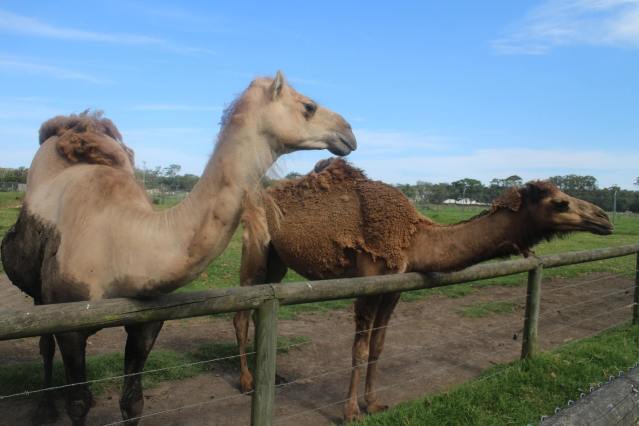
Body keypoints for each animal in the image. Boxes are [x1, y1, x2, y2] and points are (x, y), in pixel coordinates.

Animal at [0, 71, 358, 424]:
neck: (125, 242)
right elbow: (78, 403)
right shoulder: (71, 323)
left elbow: (132, 403)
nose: (349, 132)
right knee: (45, 344)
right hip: (41, 294)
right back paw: (44, 408)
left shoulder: (147, 319)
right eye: (308, 106)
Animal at [235, 158, 616, 422]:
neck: (416, 236)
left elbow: (379, 346)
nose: (604, 218)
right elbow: (359, 349)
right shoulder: (368, 281)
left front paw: (373, 403)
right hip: (255, 248)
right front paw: (351, 412)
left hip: (278, 261)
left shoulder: (395, 286)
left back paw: (271, 374)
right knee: (241, 312)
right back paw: (247, 382)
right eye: (561, 203)